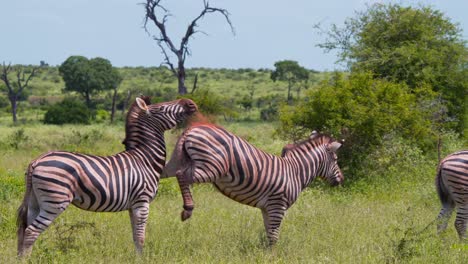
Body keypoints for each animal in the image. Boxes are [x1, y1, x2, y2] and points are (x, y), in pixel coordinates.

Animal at [16, 96, 197, 256]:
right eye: (161, 108)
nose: (190, 102)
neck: (145, 159)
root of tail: (37, 161)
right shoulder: (142, 201)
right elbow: (141, 237)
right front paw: (142, 259)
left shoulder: (133, 205)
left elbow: (135, 236)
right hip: (55, 200)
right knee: (31, 231)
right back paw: (27, 260)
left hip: (35, 201)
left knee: (24, 229)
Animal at [164, 122, 344, 244]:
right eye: (336, 160)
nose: (341, 180)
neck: (295, 172)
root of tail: (192, 129)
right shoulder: (278, 205)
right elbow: (274, 235)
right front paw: (271, 257)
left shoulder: (267, 207)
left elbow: (269, 232)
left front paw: (264, 253)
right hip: (212, 167)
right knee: (182, 175)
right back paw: (188, 209)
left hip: (176, 161)